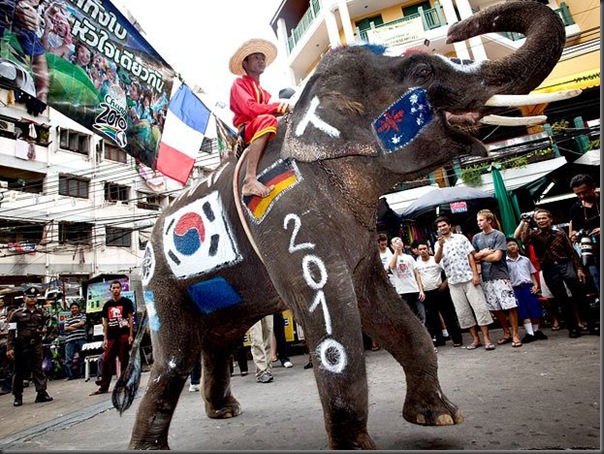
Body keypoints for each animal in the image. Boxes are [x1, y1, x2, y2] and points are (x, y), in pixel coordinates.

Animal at [117, 0, 568, 450]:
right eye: (422, 72)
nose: (456, 29)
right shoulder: (289, 219)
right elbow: (333, 315)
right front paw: (356, 443)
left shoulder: (361, 240)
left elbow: (386, 308)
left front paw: (439, 417)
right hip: (160, 283)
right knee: (175, 357)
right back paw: (151, 443)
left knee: (221, 340)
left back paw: (224, 411)